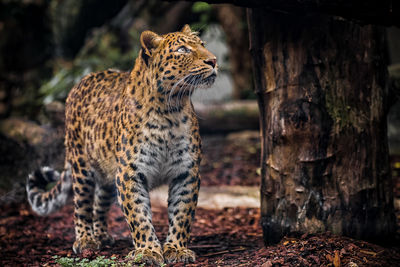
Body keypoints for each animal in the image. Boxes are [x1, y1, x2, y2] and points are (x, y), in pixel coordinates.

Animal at [26, 24, 217, 266]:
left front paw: (176, 249)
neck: (169, 110)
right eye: (182, 50)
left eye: (203, 45)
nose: (214, 60)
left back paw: (102, 235)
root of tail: (81, 81)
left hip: (107, 171)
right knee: (82, 204)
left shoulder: (186, 172)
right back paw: (86, 240)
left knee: (99, 202)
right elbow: (138, 215)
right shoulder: (130, 172)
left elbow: (182, 213)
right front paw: (148, 252)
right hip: (81, 166)